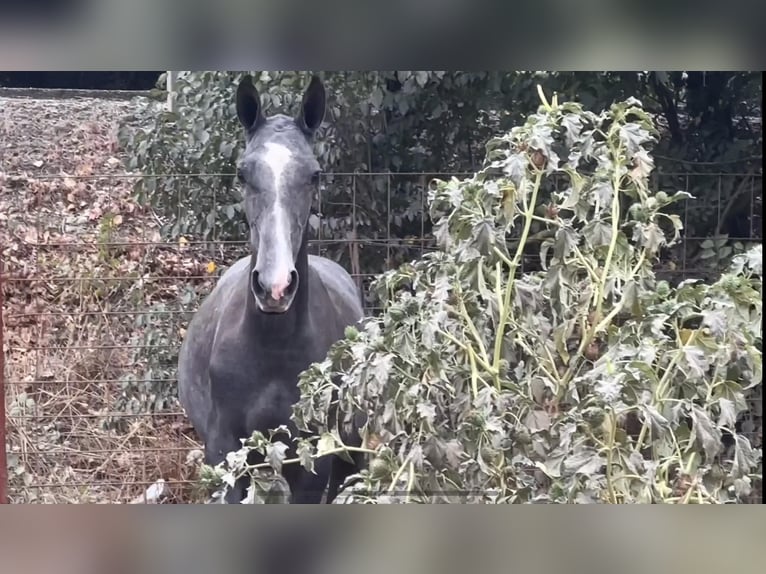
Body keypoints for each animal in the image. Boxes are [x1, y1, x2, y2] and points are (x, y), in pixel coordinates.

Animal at [178, 73, 364, 504]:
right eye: (243, 174)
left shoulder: (313, 463)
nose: (275, 287)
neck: (271, 348)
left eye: (314, 175)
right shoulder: (226, 456)